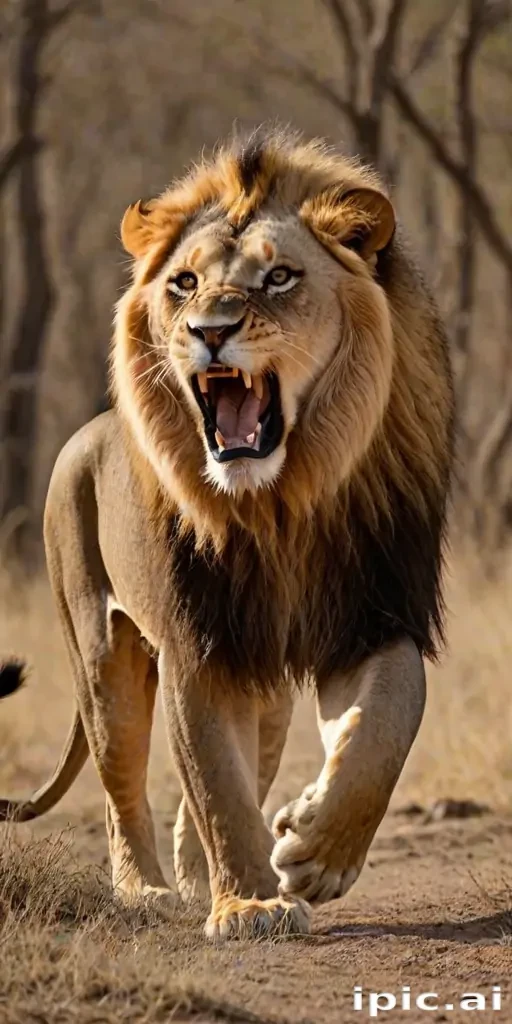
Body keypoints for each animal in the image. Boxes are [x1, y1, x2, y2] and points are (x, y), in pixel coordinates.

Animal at [0, 126, 453, 941]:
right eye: (183, 283)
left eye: (278, 277)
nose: (209, 332)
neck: (279, 505)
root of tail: (85, 431)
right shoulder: (199, 641)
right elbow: (215, 780)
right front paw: (247, 905)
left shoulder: (369, 615)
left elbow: (390, 721)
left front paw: (315, 853)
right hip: (101, 656)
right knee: (123, 783)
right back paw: (146, 890)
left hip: (266, 690)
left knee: (247, 761)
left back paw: (192, 870)